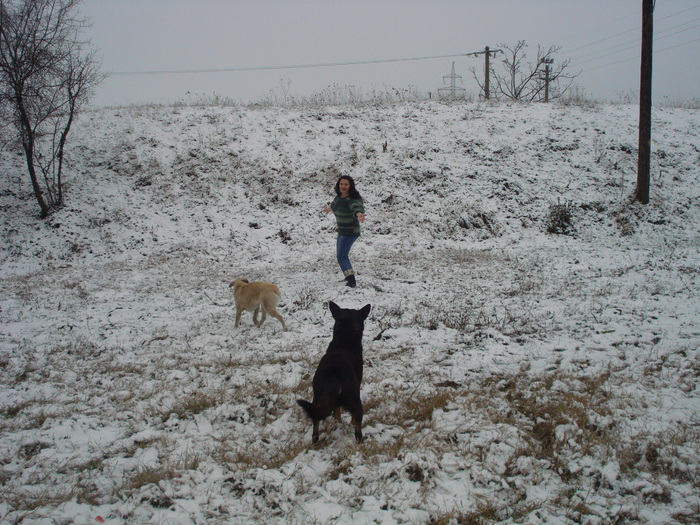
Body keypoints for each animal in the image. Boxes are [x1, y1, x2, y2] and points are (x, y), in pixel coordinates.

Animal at [296, 298, 372, 442]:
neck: (343, 342)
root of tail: (334, 374)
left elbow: (336, 412)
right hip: (354, 398)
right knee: (358, 427)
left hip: (317, 398)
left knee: (316, 422)